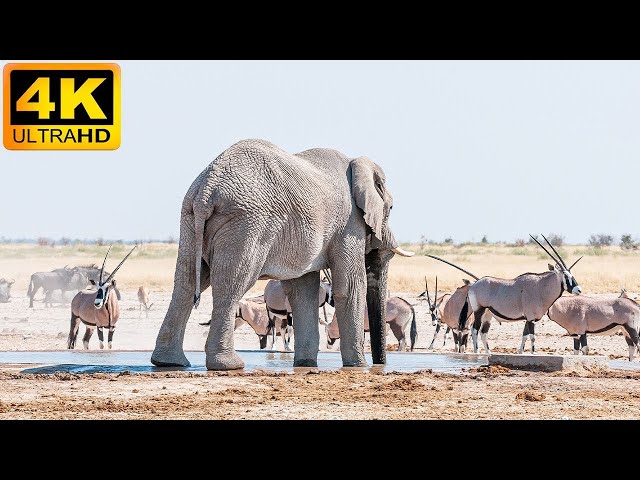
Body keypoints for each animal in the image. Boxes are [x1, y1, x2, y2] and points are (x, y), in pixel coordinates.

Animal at [150, 139, 412, 372]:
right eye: (390, 209)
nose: (380, 365)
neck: (356, 162)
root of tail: (207, 188)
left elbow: (303, 292)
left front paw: (305, 365)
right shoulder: (348, 225)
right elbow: (349, 287)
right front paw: (358, 366)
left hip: (190, 218)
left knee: (186, 282)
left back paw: (169, 362)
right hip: (247, 223)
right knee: (231, 284)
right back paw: (229, 365)